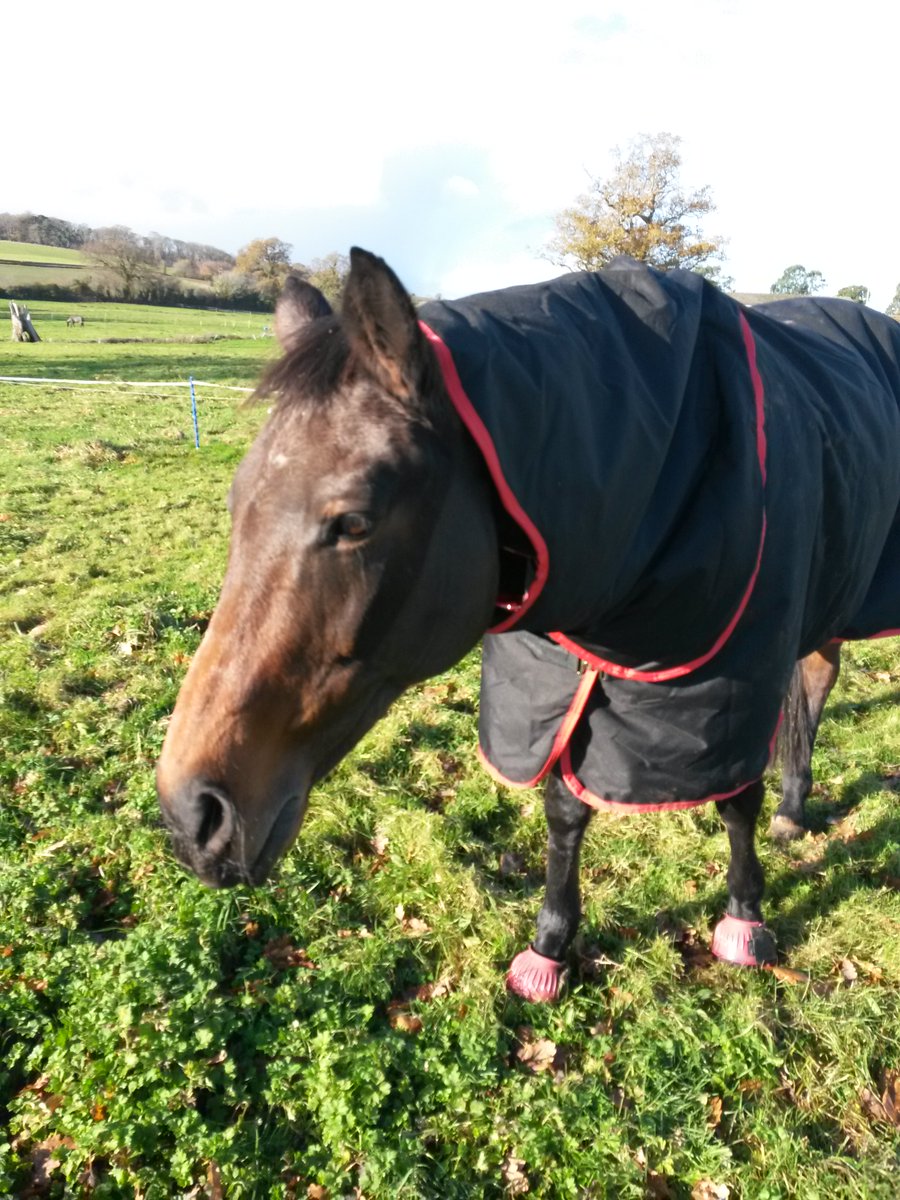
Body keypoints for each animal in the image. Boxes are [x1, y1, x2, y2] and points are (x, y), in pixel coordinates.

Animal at [157, 249, 900, 1003]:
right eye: (237, 504)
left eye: (354, 521)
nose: (192, 816)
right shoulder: (558, 680)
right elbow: (564, 807)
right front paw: (550, 946)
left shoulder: (733, 675)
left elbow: (736, 799)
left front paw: (745, 917)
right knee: (817, 679)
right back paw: (794, 806)